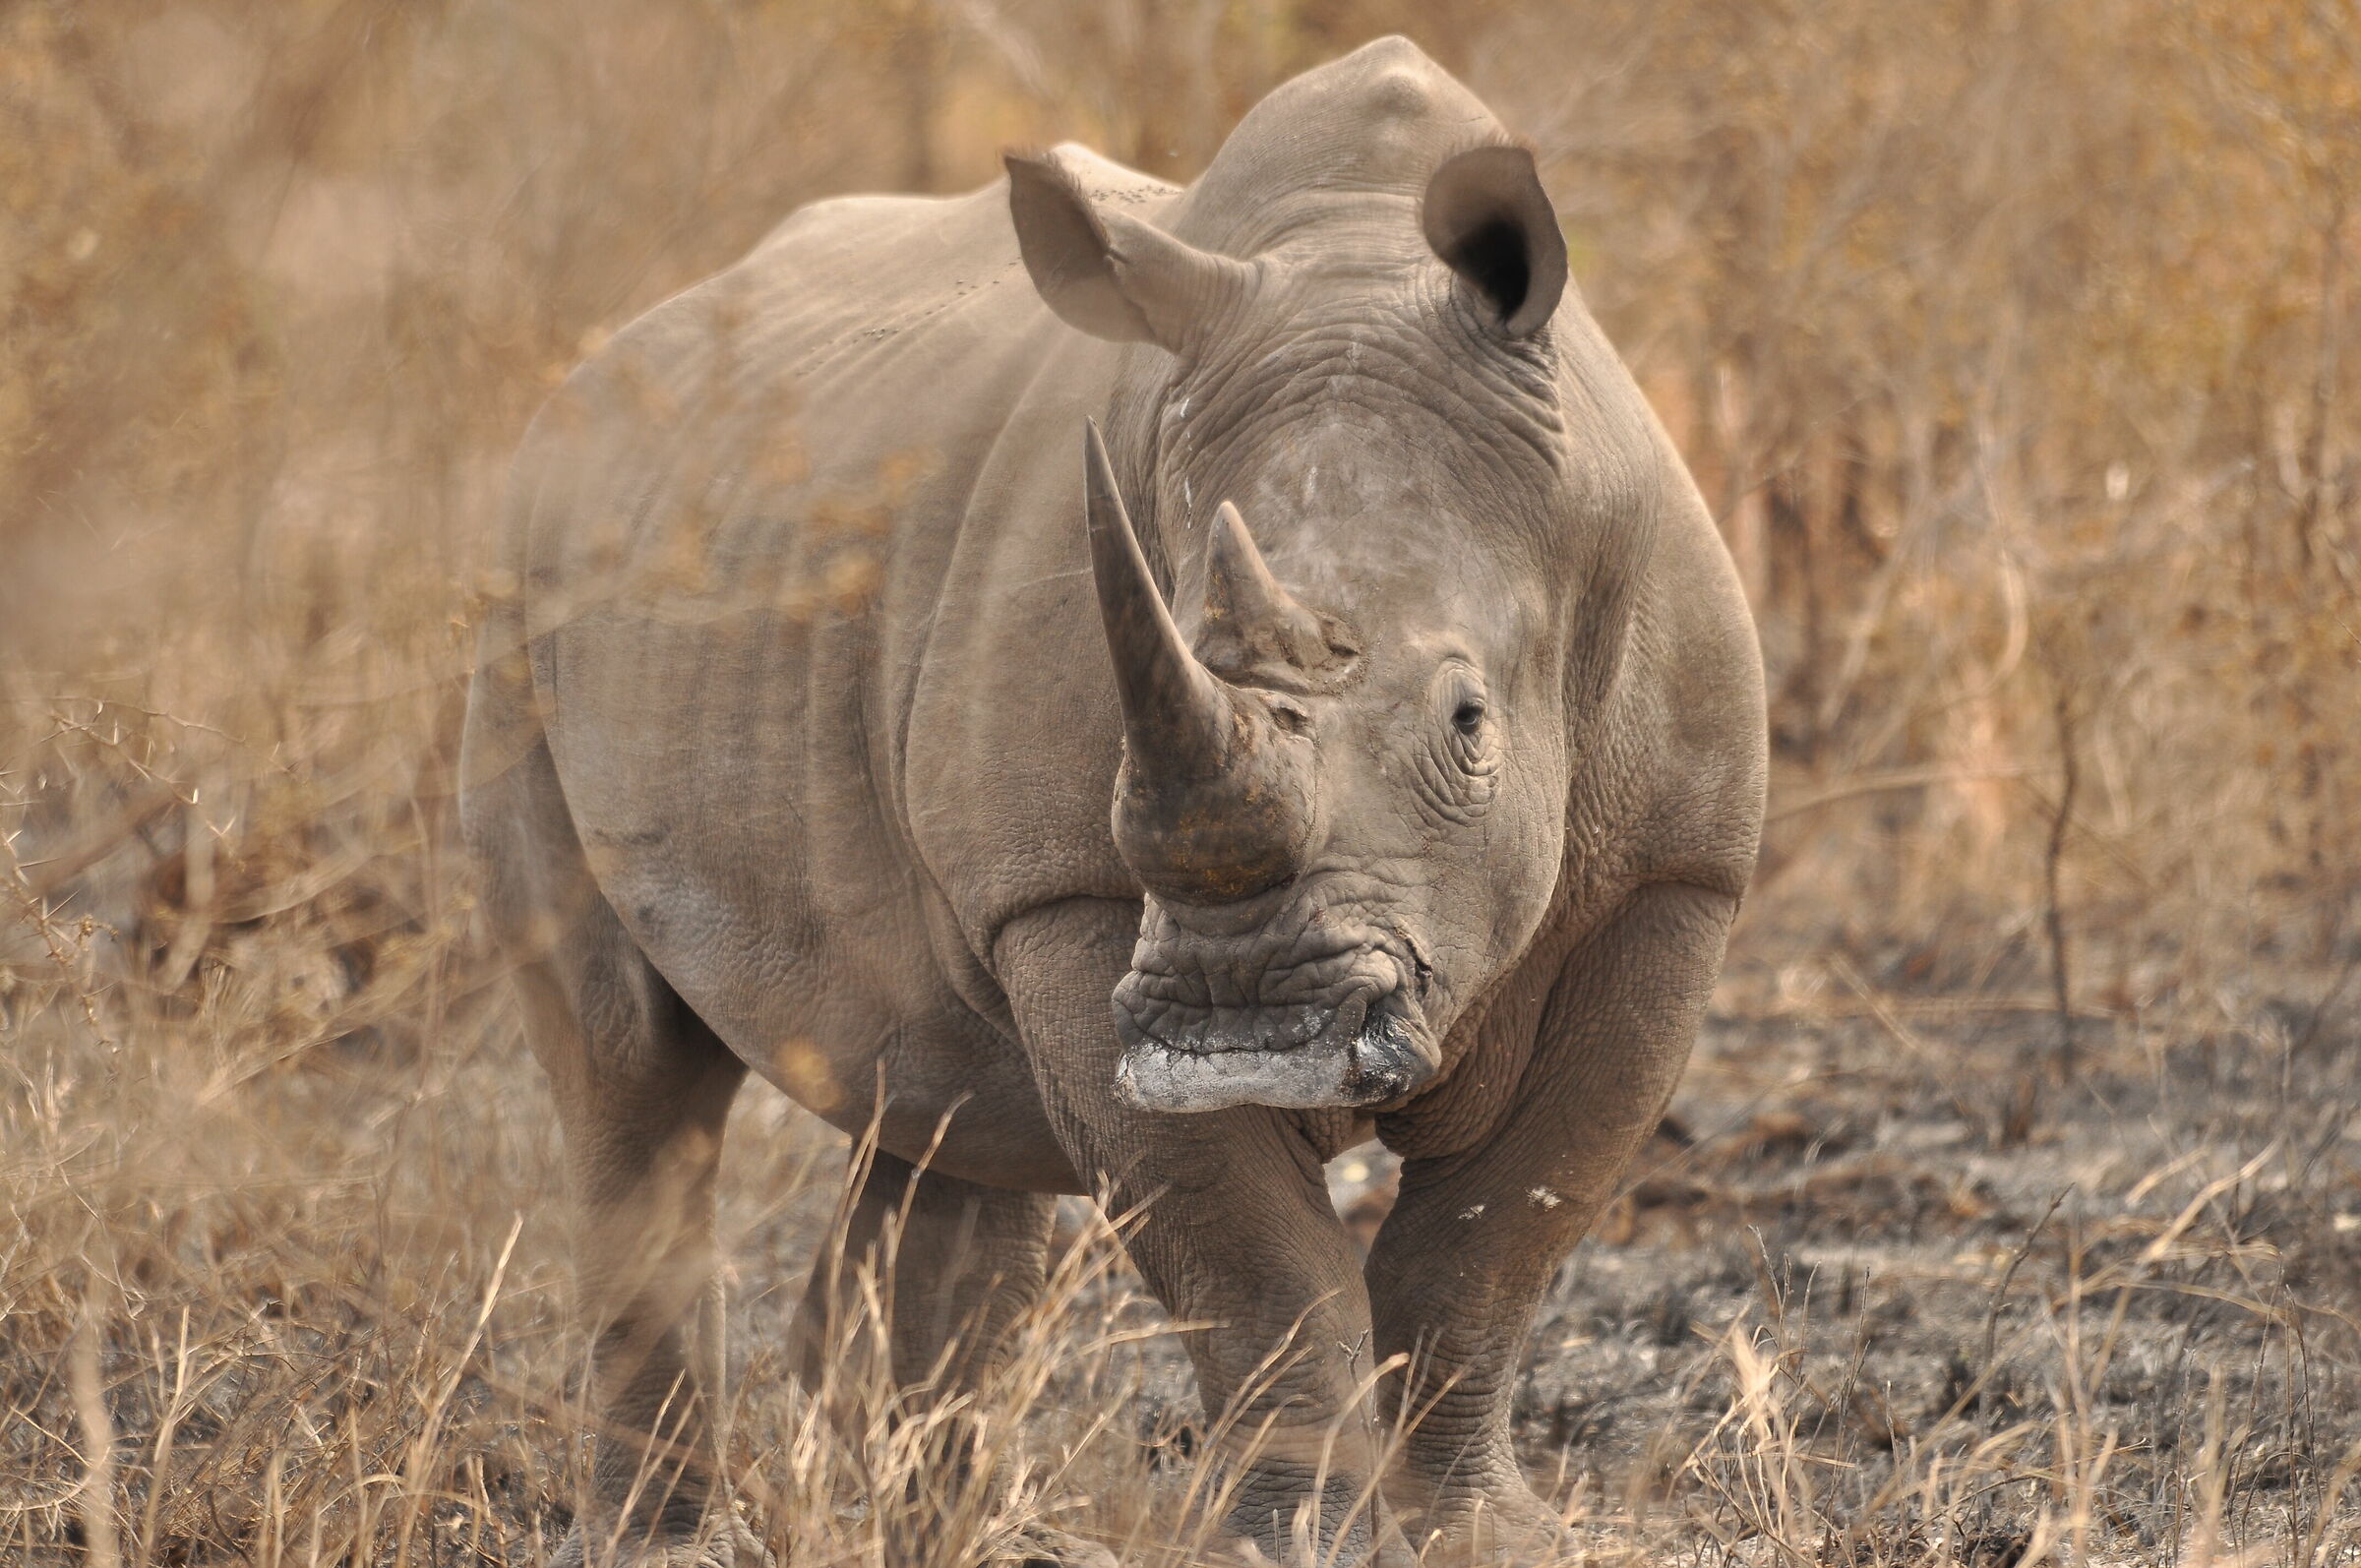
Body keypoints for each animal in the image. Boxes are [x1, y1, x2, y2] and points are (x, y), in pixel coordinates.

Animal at [460, 35, 1764, 1568]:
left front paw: (1483, 1537)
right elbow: (1256, 1269)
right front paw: (1294, 1541)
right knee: (633, 1073)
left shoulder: (1672, 876)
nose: (1246, 1024)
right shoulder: (1069, 897)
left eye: (1467, 723)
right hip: (511, 590)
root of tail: (586, 381)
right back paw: (658, 1534)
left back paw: (924, 1524)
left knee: (935, 1104)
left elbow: (1494, 1243)